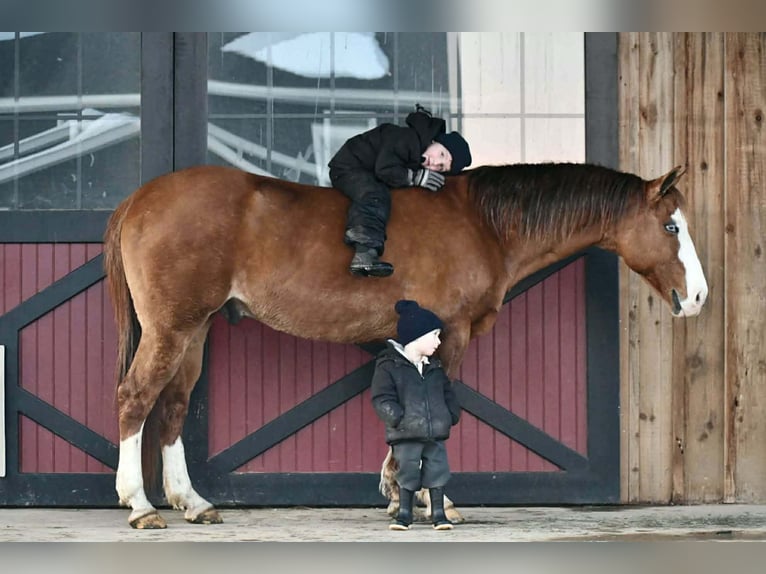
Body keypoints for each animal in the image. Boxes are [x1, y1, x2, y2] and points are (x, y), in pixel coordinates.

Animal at [104, 161, 708, 529]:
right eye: (671, 227)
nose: (699, 296)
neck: (483, 223)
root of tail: (138, 199)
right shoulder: (451, 334)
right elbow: (433, 410)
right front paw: (428, 498)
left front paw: (397, 487)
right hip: (172, 328)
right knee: (135, 399)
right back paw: (139, 504)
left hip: (196, 329)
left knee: (172, 407)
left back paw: (192, 502)